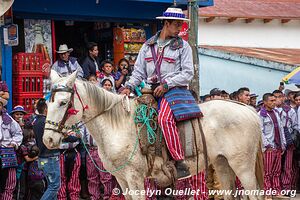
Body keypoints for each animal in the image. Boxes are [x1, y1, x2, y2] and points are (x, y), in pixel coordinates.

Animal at [43, 70, 264, 200]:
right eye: (47, 102)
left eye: (63, 102)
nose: (48, 140)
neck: (117, 127)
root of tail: (248, 110)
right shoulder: (122, 180)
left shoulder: (134, 178)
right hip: (222, 163)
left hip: (243, 166)